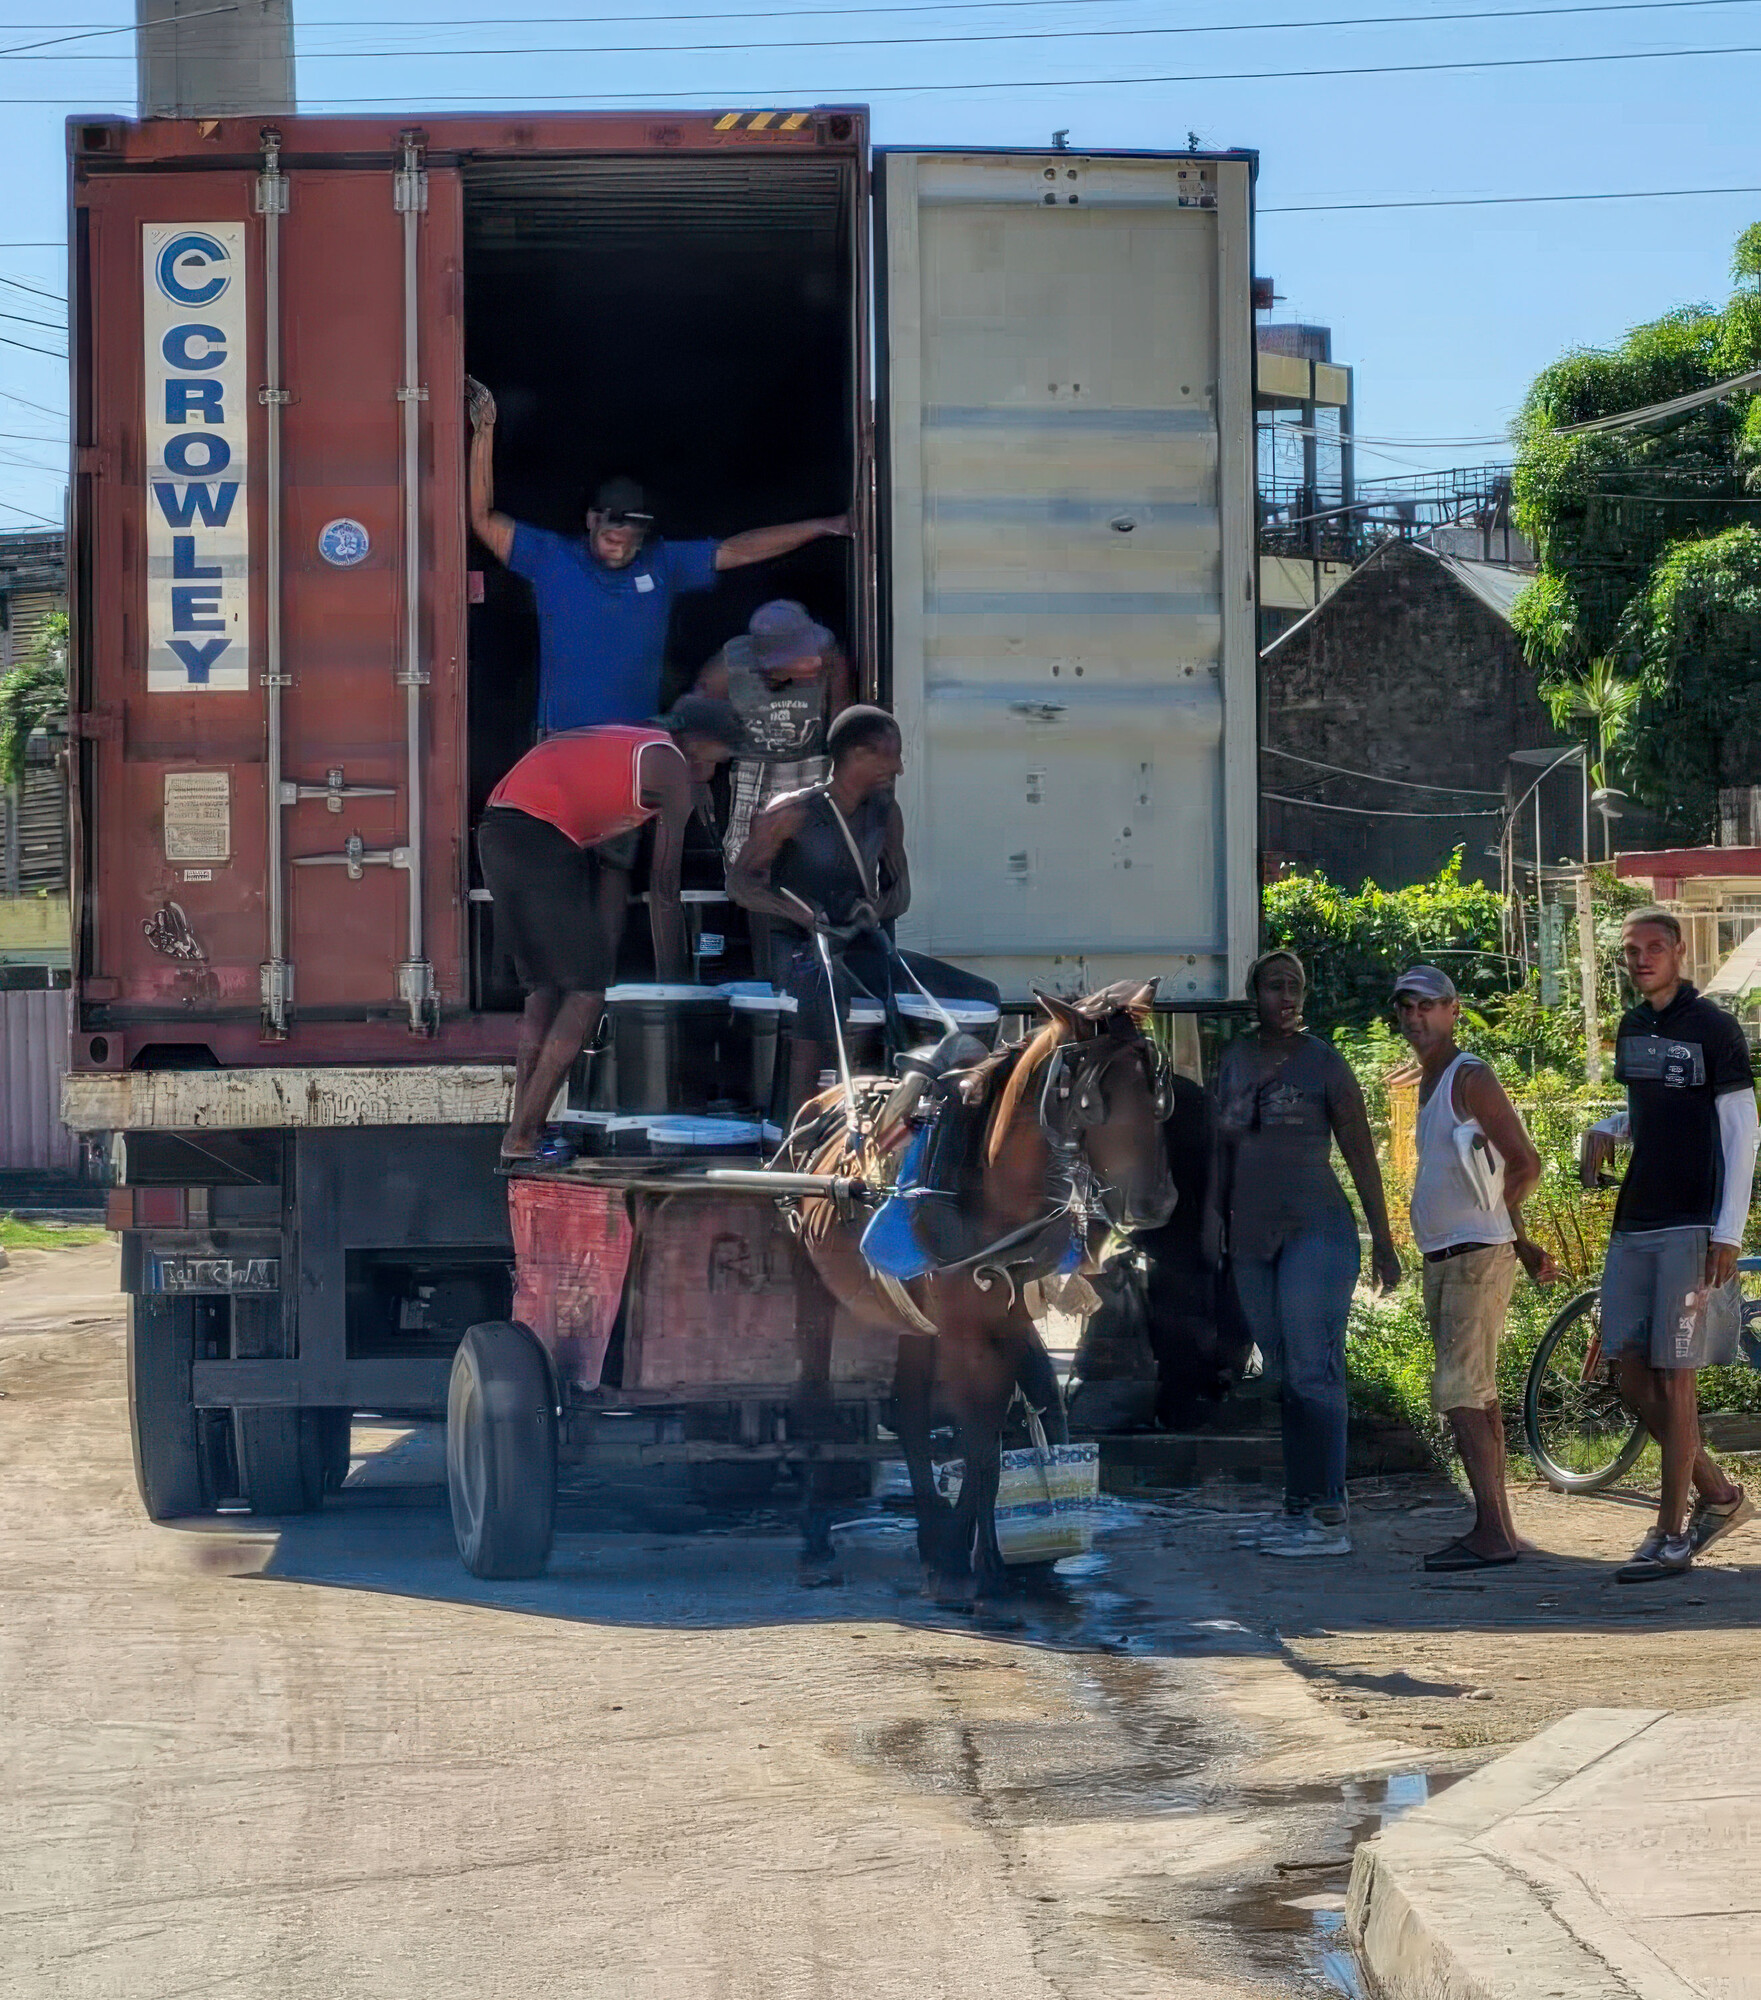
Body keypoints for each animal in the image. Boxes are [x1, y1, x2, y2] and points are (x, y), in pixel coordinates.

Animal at [788, 976, 1176, 1600]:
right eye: (1092, 1096)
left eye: (1156, 1088)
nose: (1155, 1201)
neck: (992, 1187)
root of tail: (825, 1104)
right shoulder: (967, 1330)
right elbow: (979, 1442)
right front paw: (981, 1572)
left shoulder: (1009, 1317)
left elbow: (1004, 1427)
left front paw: (963, 1552)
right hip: (813, 1289)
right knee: (814, 1402)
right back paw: (816, 1537)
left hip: (914, 1322)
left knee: (912, 1415)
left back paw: (929, 1532)